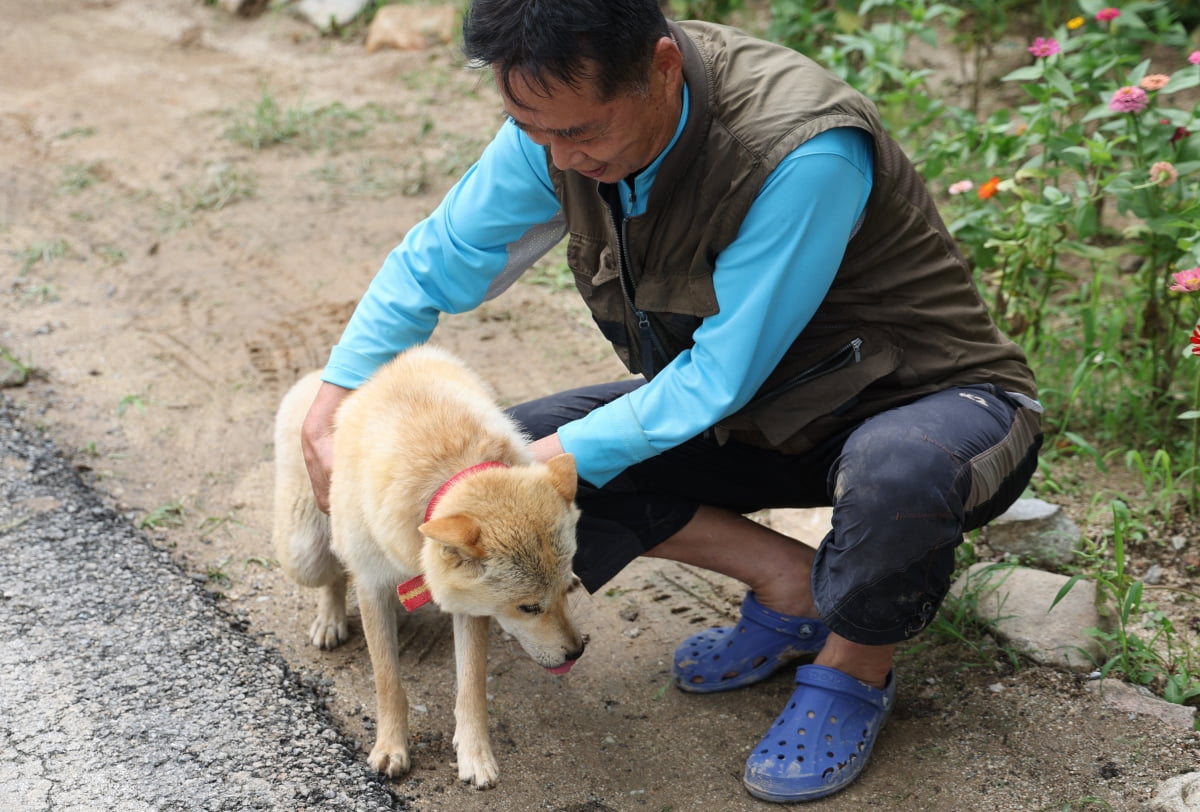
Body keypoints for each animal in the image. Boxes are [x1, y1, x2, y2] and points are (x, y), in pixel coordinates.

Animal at [276, 343, 585, 786]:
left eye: (564, 593)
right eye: (528, 607)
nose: (577, 652)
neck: (444, 465)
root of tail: (312, 377)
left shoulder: (469, 606)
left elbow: (471, 686)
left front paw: (475, 754)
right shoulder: (372, 586)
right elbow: (388, 683)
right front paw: (391, 747)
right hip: (306, 554)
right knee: (335, 572)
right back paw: (330, 620)